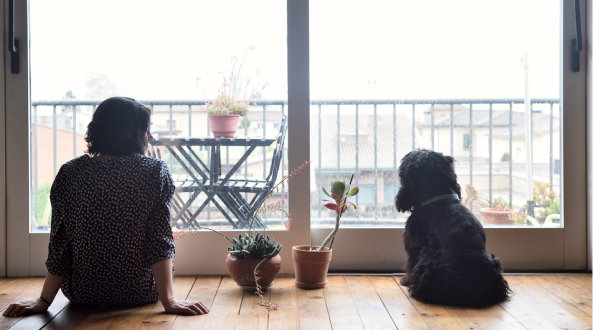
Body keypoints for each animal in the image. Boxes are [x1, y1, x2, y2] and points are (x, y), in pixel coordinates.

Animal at [394, 150, 508, 306]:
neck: (438, 197)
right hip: (494, 262)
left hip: (427, 263)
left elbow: (410, 265)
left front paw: (406, 280)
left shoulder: (414, 247)